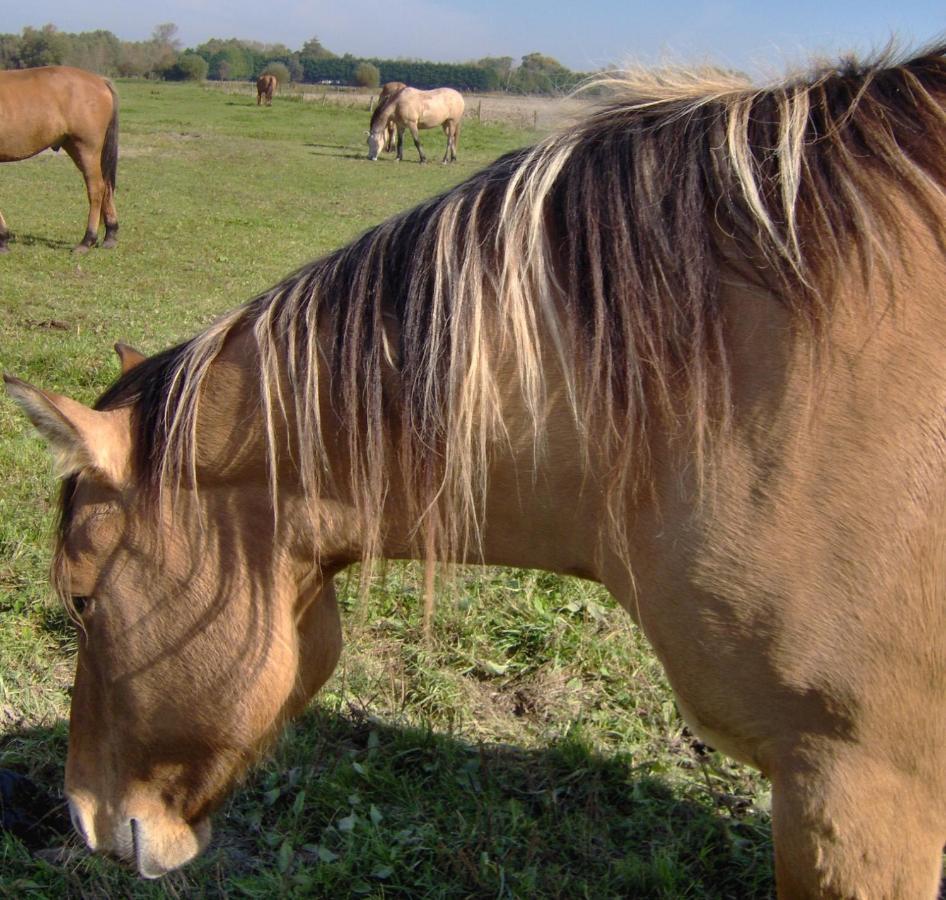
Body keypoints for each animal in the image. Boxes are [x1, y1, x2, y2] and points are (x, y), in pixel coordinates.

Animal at [0, 66, 118, 253]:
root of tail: (100, 81)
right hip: (77, 149)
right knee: (106, 186)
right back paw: (111, 235)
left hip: (87, 150)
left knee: (96, 189)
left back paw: (87, 240)